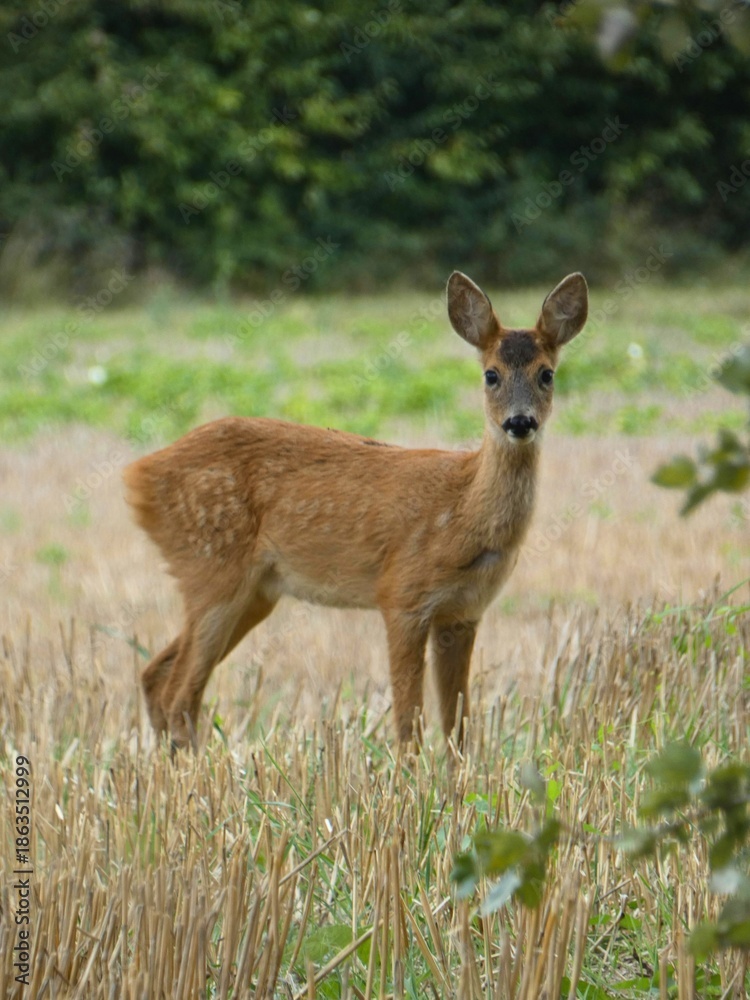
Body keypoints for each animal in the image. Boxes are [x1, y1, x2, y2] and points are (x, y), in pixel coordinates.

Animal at [124, 270, 588, 753]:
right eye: (491, 375)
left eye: (547, 374)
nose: (519, 422)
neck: (462, 512)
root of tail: (139, 474)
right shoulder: (401, 595)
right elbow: (408, 722)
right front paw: (409, 772)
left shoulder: (463, 613)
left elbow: (458, 727)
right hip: (211, 568)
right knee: (179, 694)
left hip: (253, 591)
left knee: (156, 674)